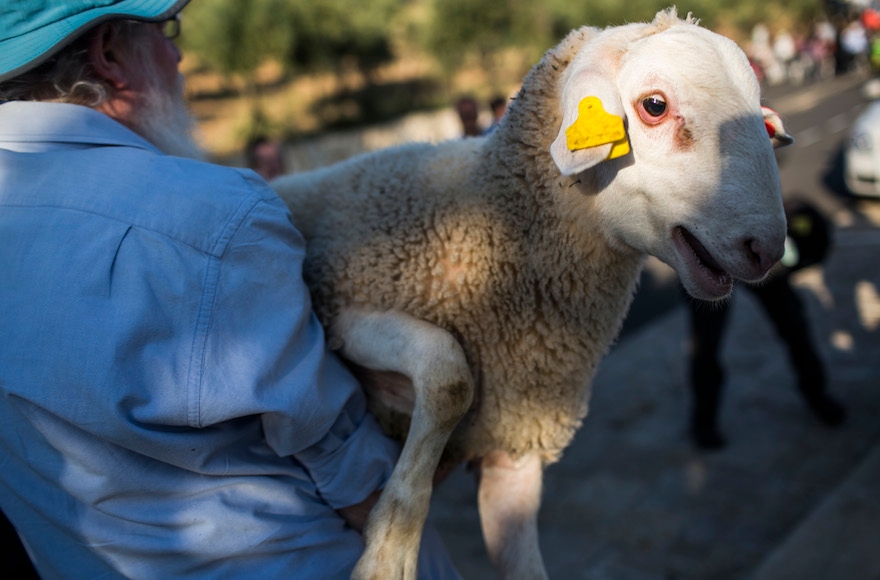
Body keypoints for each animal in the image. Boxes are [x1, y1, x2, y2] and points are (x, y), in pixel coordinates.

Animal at [272, 9, 796, 580]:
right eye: (654, 106)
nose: (766, 249)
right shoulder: (340, 313)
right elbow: (451, 373)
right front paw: (389, 553)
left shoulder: (514, 449)